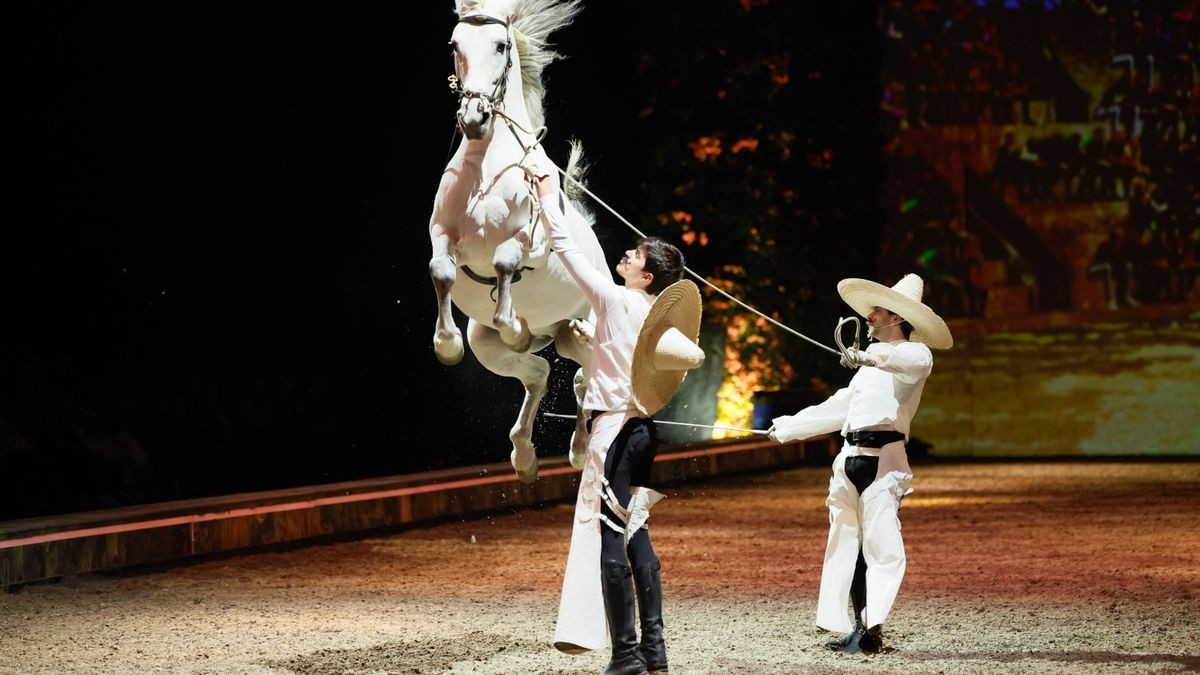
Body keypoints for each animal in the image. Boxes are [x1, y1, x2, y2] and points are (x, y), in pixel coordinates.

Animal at [429, 0, 604, 482]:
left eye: (501, 45)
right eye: (454, 44)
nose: (473, 118)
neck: (487, 169)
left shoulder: (534, 242)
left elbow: (506, 260)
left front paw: (512, 324)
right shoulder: (440, 234)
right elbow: (441, 269)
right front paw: (447, 345)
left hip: (588, 330)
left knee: (584, 378)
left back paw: (579, 449)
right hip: (501, 344)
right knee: (541, 371)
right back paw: (526, 456)